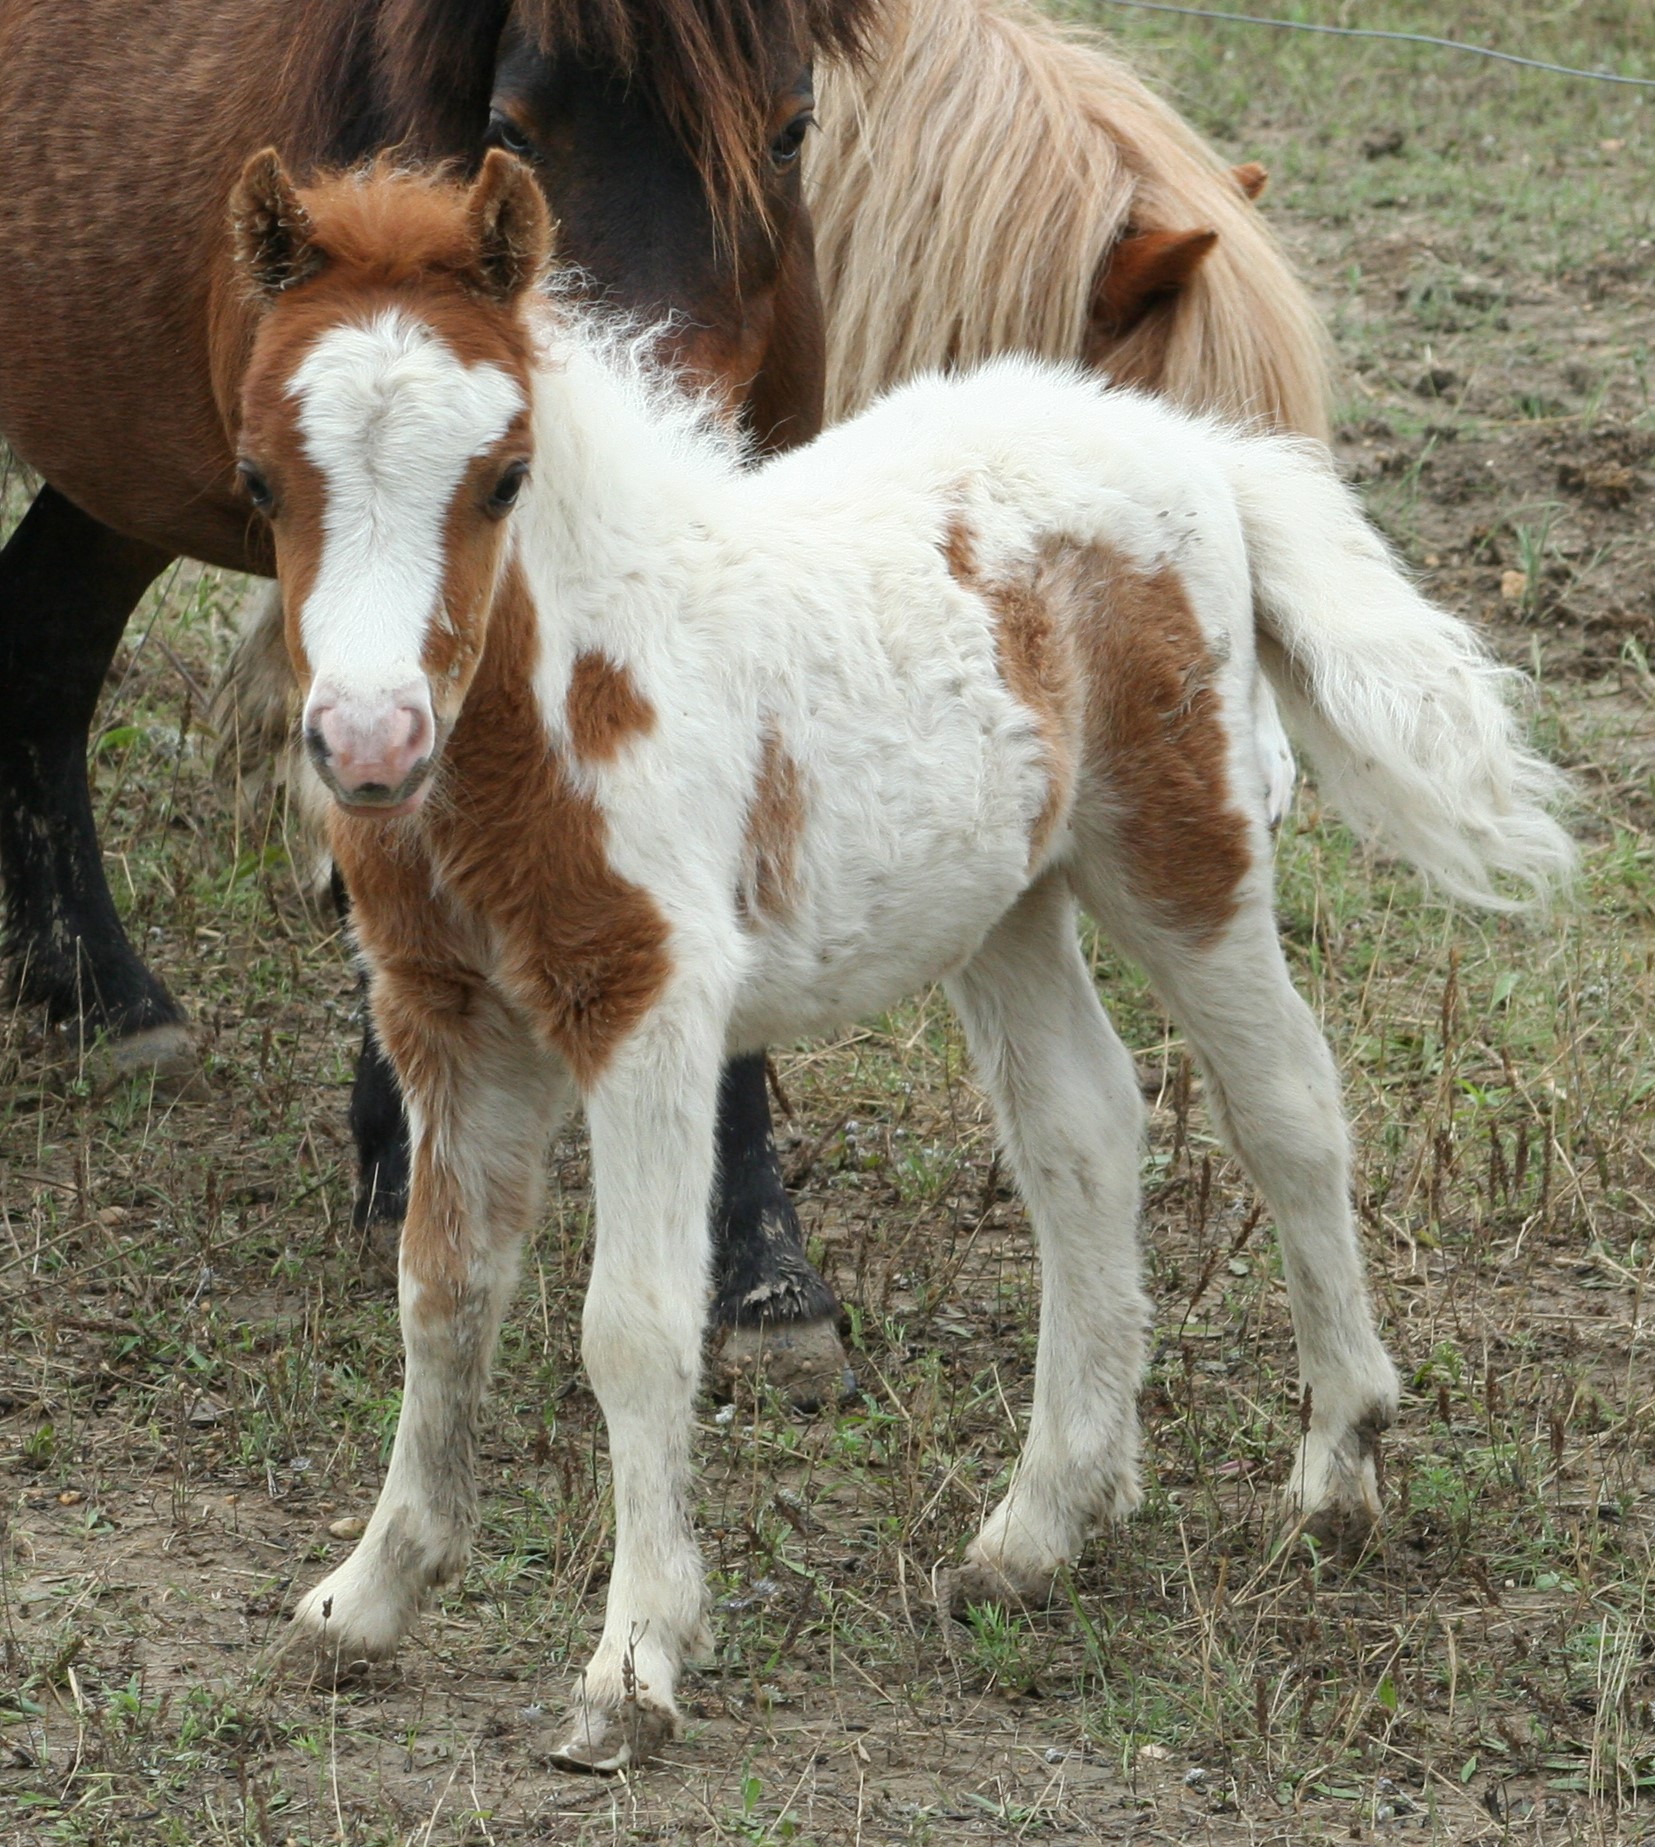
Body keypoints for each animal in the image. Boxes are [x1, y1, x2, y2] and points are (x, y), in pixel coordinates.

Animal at [0, 0, 875, 1404]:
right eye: (510, 126)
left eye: (791, 131)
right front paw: (410, 1157)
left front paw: (762, 1273)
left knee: (41, 641)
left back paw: (99, 996)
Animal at [231, 153, 1571, 1768]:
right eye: (261, 479)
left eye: (502, 476)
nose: (367, 745)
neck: (561, 701)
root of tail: (1185, 442)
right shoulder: (443, 1016)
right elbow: (439, 1295)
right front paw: (368, 1594)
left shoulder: (646, 1005)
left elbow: (632, 1327)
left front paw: (631, 1667)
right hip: (1005, 900)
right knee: (1082, 1129)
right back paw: (1038, 1525)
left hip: (1177, 855)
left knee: (1286, 1108)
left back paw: (1335, 1467)